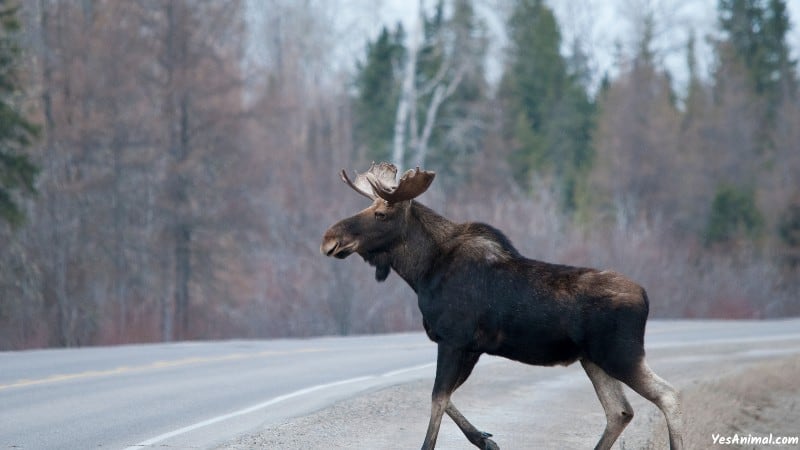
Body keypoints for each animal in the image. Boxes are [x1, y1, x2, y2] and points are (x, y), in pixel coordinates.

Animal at [318, 163, 680, 450]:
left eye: (380, 214)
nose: (328, 238)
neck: (421, 272)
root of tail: (645, 297)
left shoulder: (453, 339)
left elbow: (437, 398)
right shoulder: (471, 347)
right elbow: (445, 397)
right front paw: (484, 439)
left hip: (620, 354)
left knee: (667, 395)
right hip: (593, 359)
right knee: (620, 411)